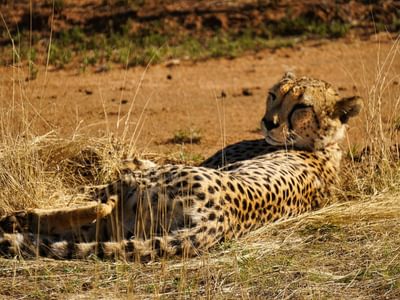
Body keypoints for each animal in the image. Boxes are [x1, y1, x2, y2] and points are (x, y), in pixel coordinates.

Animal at [0, 72, 362, 260]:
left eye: (301, 106)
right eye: (274, 95)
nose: (268, 122)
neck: (325, 144)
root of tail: (218, 222)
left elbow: (141, 163)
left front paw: (116, 160)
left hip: (141, 189)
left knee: (101, 203)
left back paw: (18, 216)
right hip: (128, 226)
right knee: (91, 221)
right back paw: (20, 225)